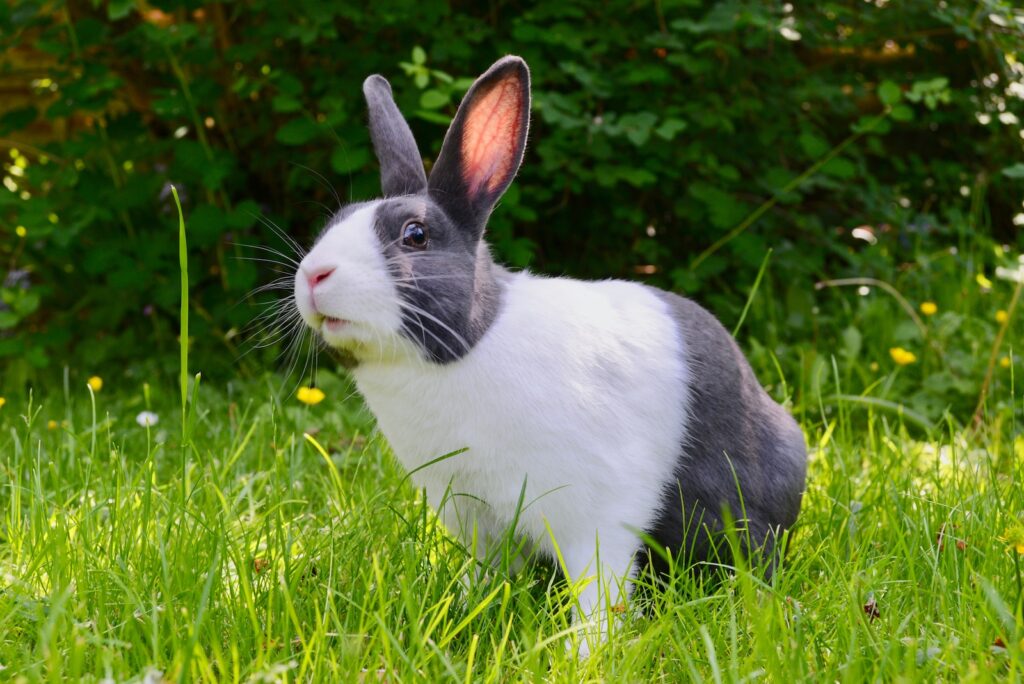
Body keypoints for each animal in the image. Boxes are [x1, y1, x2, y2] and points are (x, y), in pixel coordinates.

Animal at [293, 56, 807, 655]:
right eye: (335, 222)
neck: (468, 348)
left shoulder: (595, 514)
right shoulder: (473, 514)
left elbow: (599, 588)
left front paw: (585, 654)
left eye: (414, 235)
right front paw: (463, 612)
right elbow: (485, 574)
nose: (313, 275)